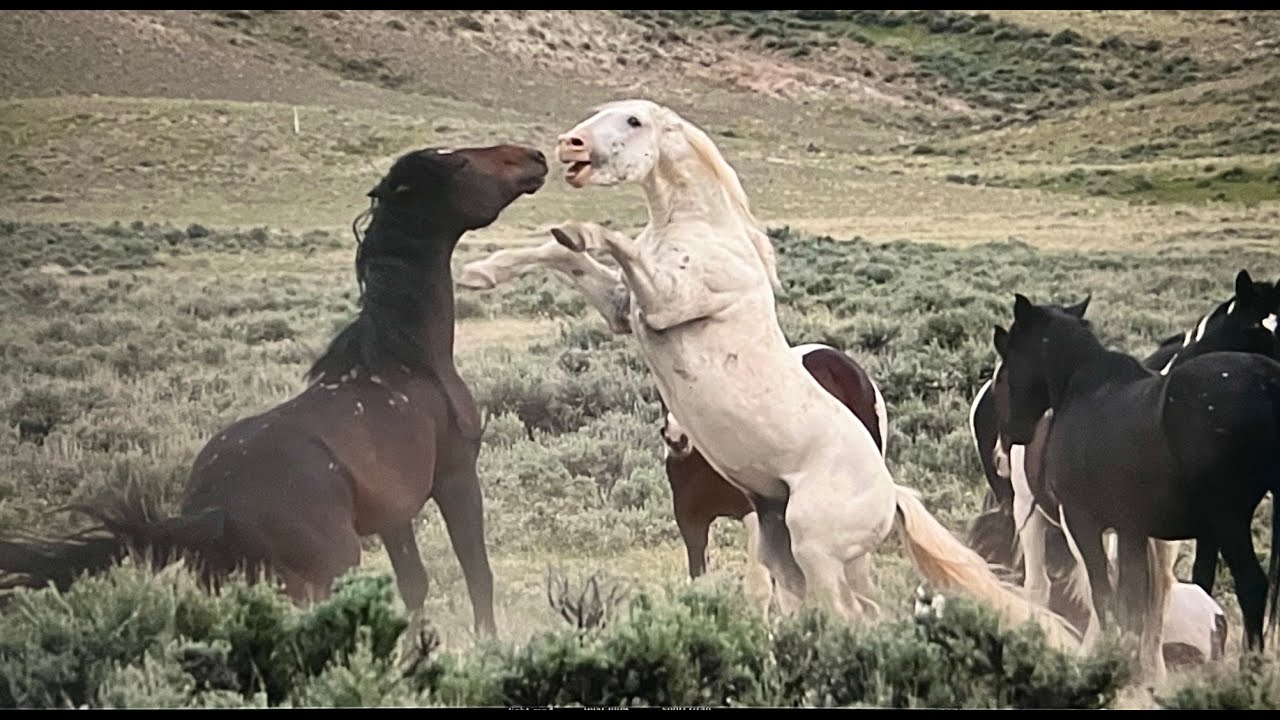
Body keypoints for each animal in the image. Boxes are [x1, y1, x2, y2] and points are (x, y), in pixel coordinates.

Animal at [0, 143, 550, 637]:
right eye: (458, 163)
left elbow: (414, 586)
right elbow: (478, 576)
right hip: (321, 575)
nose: (535, 157)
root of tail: (214, 509)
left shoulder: (393, 516)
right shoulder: (456, 480)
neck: (406, 362)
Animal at [550, 97, 1078, 648]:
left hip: (816, 548)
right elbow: (569, 261)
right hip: (782, 544)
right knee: (826, 605)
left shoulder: (667, 301)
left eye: (633, 121)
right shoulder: (624, 310)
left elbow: (617, 245)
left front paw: (580, 231)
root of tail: (892, 496)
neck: (703, 232)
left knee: (851, 613)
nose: (569, 145)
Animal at [998, 292, 1280, 680]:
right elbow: (1132, 601)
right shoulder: (1131, 529)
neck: (1083, 392)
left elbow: (1104, 595)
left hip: (1229, 521)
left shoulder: (1083, 522)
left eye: (1012, 353)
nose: (1012, 432)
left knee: (1252, 586)